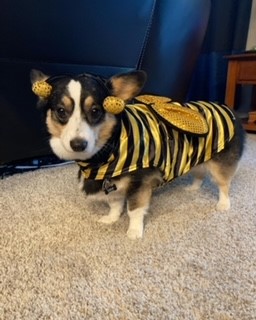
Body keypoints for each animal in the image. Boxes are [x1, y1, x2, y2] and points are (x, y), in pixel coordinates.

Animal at [31, 70, 245, 240]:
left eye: (95, 111)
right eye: (61, 111)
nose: (78, 144)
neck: (109, 150)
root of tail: (229, 109)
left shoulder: (139, 183)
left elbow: (133, 210)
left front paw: (134, 231)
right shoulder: (112, 183)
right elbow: (115, 204)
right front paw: (111, 218)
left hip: (219, 164)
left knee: (224, 184)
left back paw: (223, 204)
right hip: (198, 157)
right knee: (200, 173)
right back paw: (193, 188)